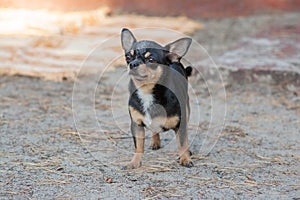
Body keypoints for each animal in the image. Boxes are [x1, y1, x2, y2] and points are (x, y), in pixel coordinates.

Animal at [120, 28, 193, 169]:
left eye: (151, 59)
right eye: (128, 57)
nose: (133, 63)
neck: (147, 91)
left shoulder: (180, 124)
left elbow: (182, 142)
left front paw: (185, 159)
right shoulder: (136, 125)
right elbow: (138, 146)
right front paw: (135, 162)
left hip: (187, 109)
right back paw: (155, 142)